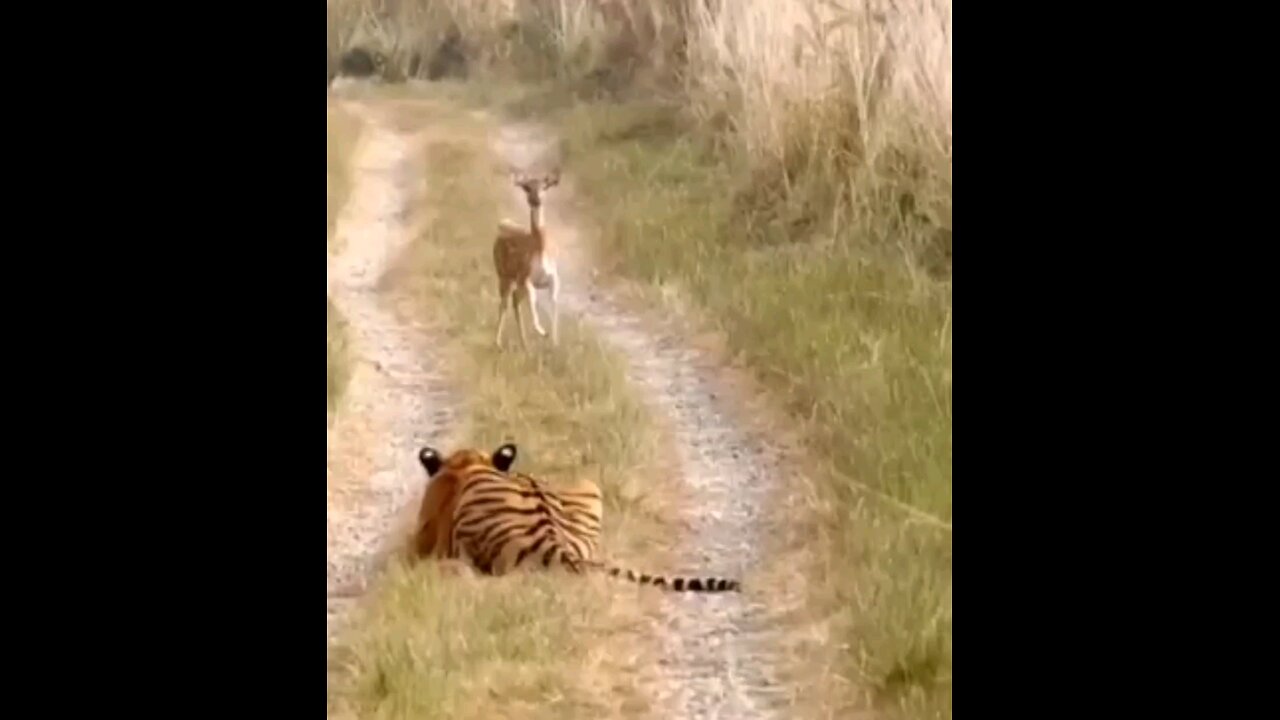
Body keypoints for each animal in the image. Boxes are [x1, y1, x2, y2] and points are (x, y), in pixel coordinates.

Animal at [494, 167, 560, 348]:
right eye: (527, 188)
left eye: (545, 186)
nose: (535, 200)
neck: (540, 250)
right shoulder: (526, 277)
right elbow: (533, 301)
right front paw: (542, 331)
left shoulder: (553, 278)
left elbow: (553, 304)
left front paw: (554, 340)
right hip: (504, 275)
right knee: (505, 302)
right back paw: (498, 342)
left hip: (513, 281)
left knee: (515, 299)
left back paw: (524, 344)